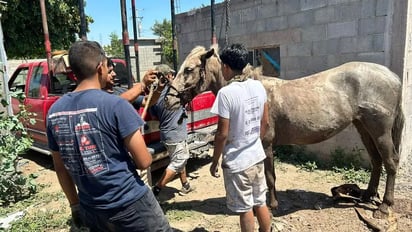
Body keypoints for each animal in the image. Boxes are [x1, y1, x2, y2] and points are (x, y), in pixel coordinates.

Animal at [166, 45, 404, 218]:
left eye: (189, 69)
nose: (169, 99)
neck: (248, 89)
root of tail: (392, 76)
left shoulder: (266, 145)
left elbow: (270, 177)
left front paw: (272, 205)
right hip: (364, 128)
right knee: (376, 161)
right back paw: (367, 195)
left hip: (380, 131)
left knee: (391, 162)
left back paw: (384, 207)